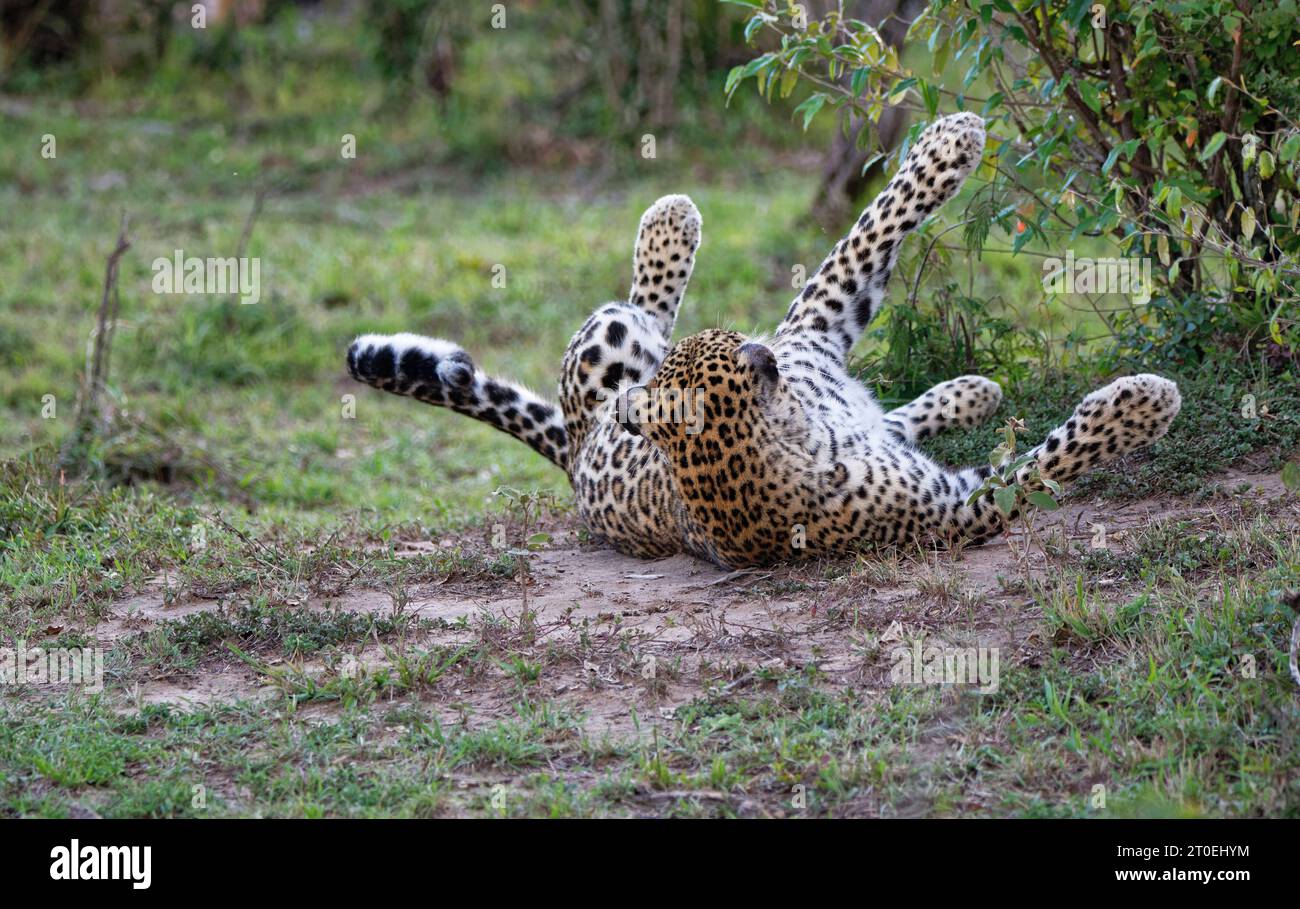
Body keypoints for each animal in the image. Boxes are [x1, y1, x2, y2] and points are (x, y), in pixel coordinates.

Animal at [347, 112, 1181, 569]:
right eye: (728, 339)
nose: (758, 343)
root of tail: (579, 453)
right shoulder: (955, 509)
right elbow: (1049, 460)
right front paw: (1142, 405)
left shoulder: (812, 331)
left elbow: (872, 225)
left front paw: (944, 142)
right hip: (607, 347)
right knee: (635, 305)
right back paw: (671, 220)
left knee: (892, 413)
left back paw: (969, 390)